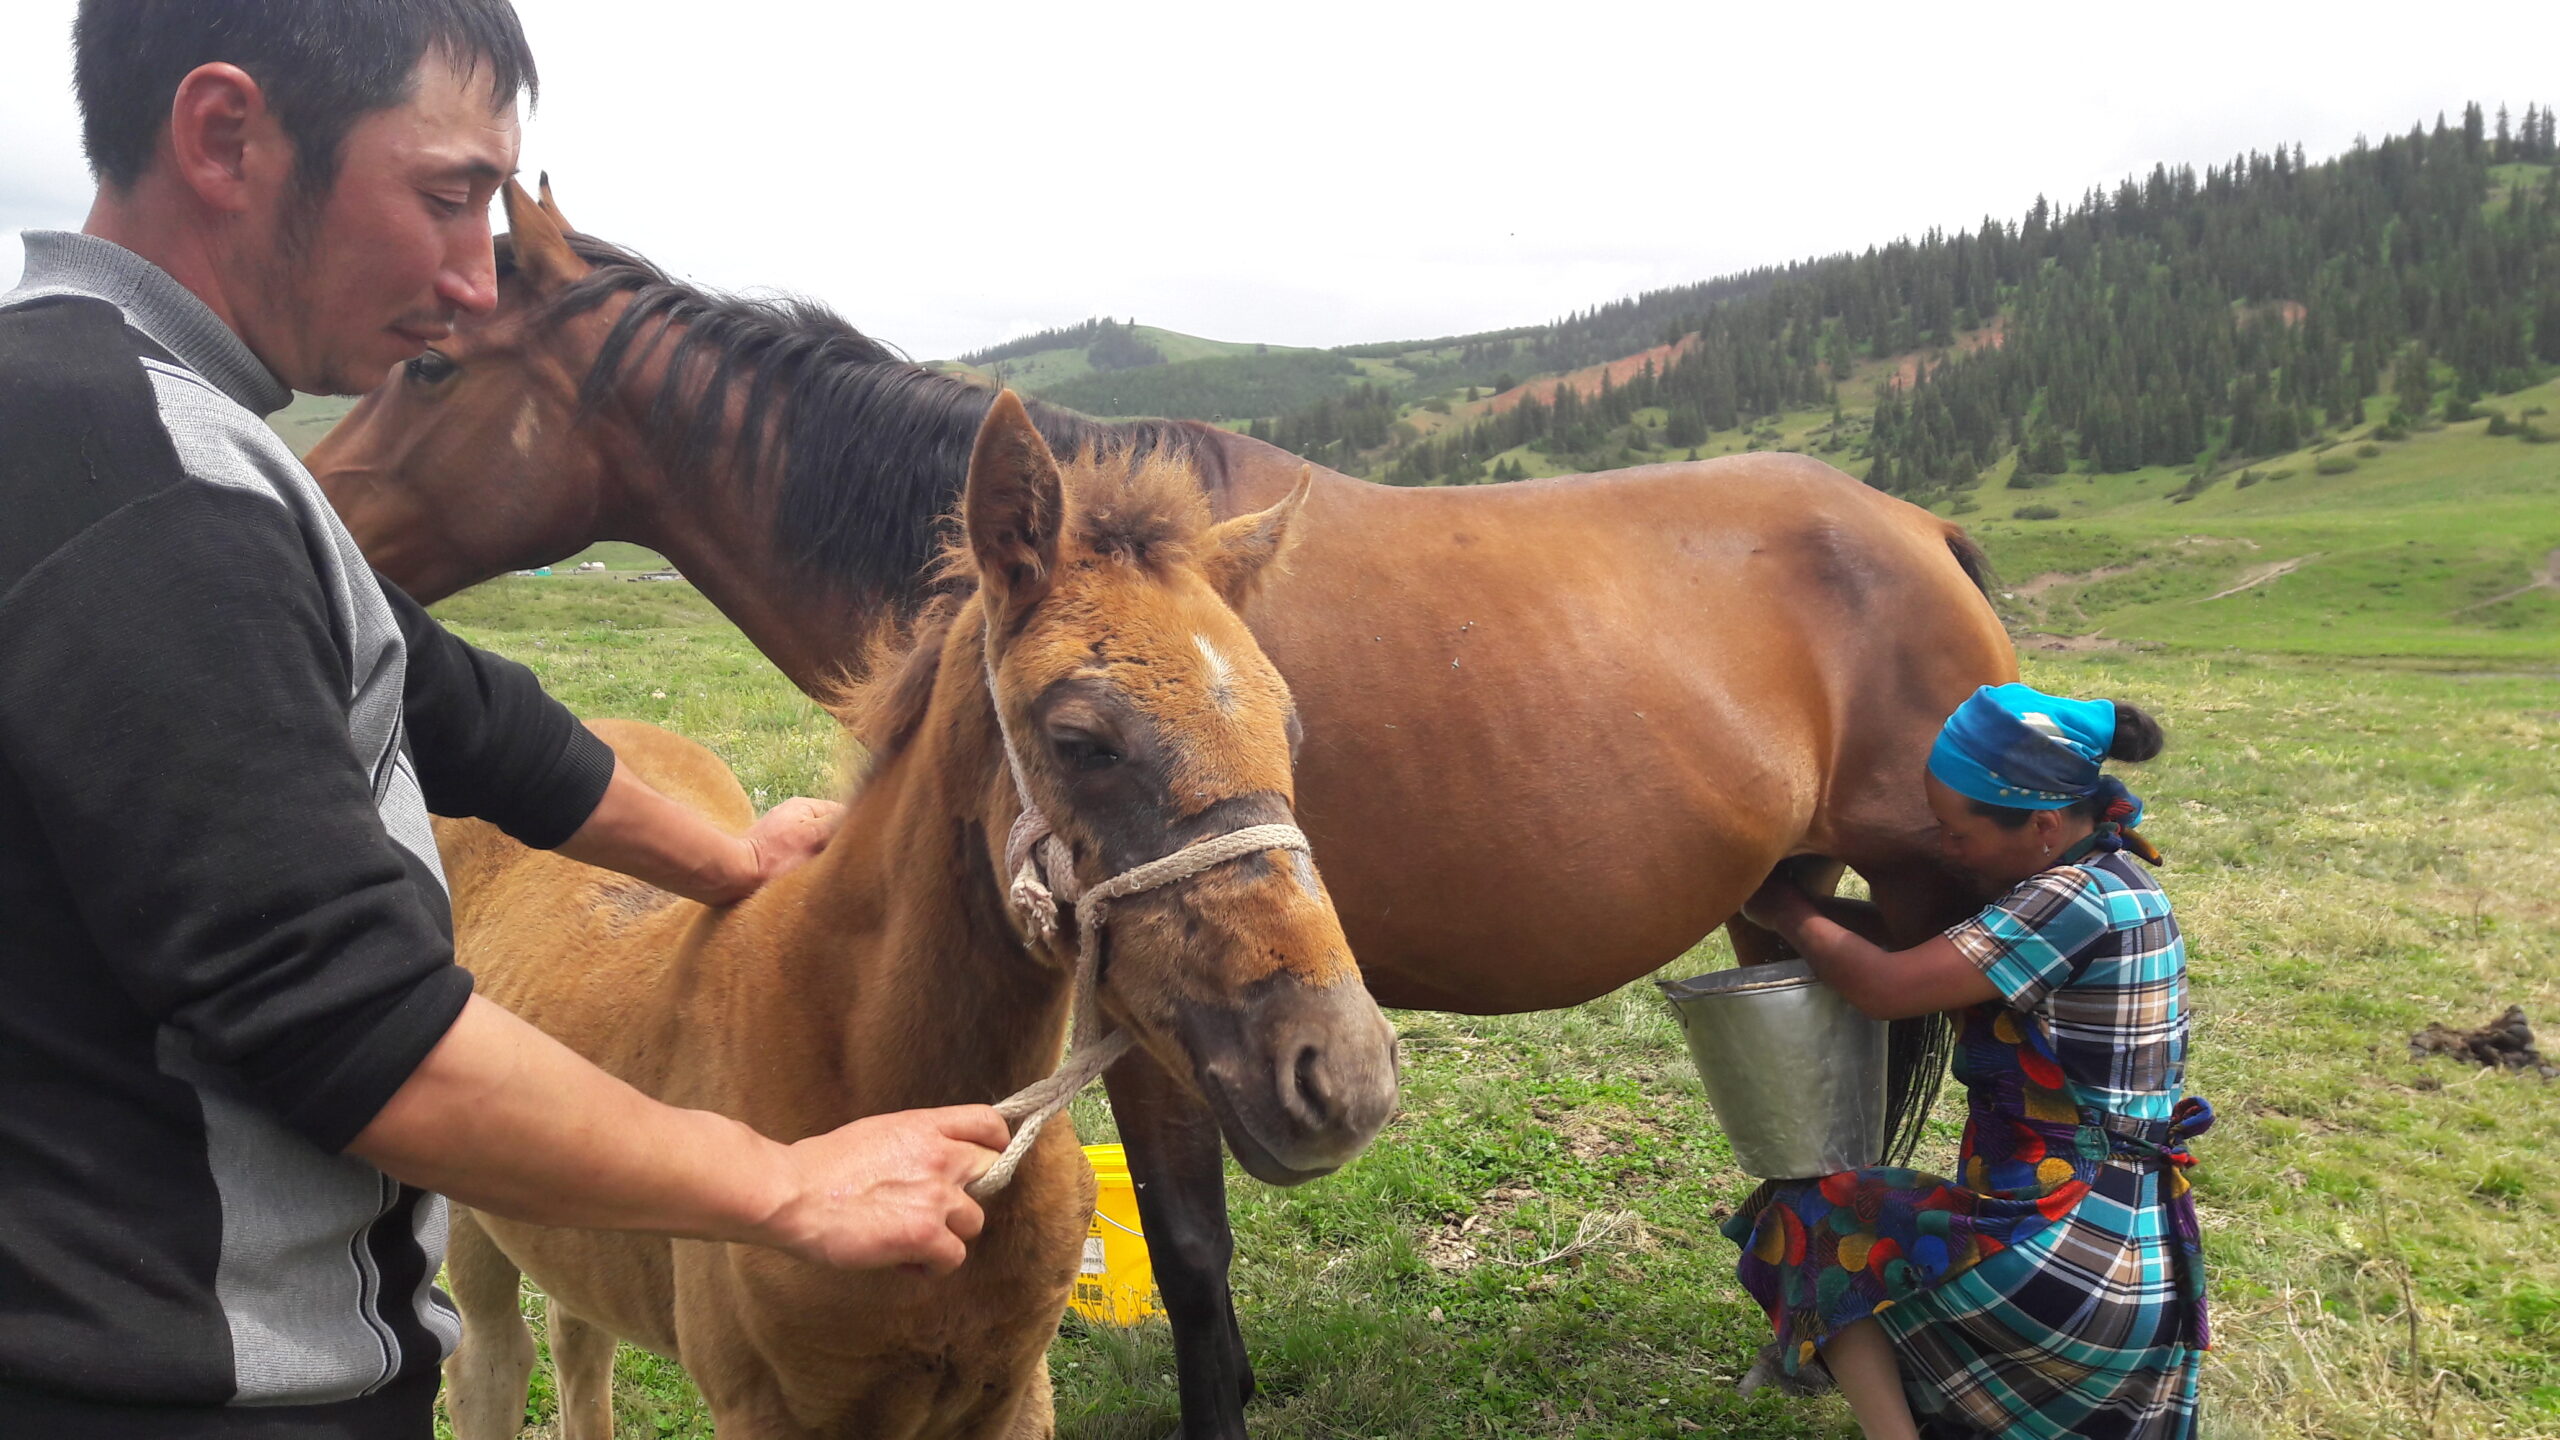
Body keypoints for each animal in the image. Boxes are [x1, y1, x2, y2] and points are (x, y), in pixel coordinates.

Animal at [428, 391, 1398, 1439]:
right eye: (1080, 739)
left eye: (1289, 726)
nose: (1343, 1075)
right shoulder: (769, 1410)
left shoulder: (1012, 1390)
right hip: (471, 1228)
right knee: (492, 1362)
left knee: (579, 1338)